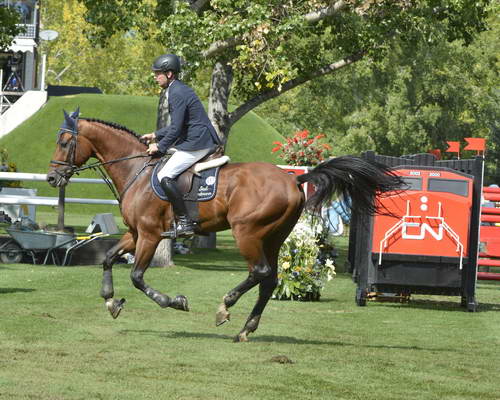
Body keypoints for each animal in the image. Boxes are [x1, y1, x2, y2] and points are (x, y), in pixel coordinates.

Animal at [45, 108, 400, 340]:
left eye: (63, 142)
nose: (51, 178)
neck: (137, 171)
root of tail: (294, 179)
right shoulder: (134, 234)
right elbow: (107, 259)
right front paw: (110, 301)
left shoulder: (149, 234)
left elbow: (136, 276)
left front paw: (174, 302)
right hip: (273, 238)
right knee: (269, 280)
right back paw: (246, 329)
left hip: (248, 233)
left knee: (259, 272)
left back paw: (225, 307)